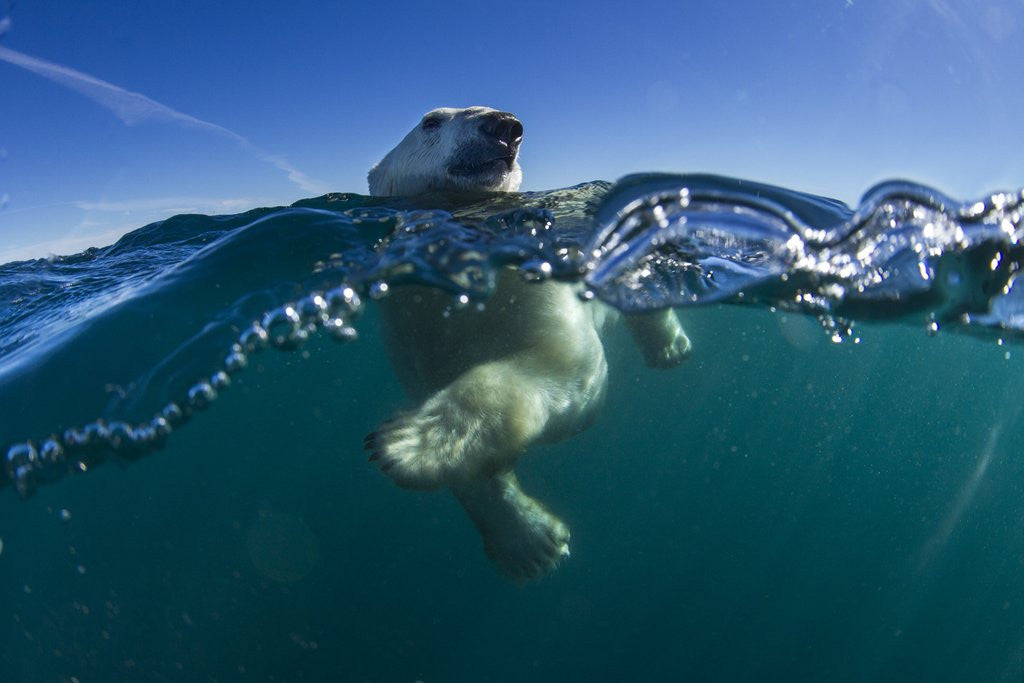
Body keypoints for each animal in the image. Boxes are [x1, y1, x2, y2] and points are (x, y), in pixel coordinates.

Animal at [365, 107, 692, 581]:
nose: (504, 126)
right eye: (431, 121)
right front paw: (529, 542)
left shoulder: (536, 289)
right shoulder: (415, 338)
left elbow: (567, 365)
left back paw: (668, 346)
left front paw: (411, 442)